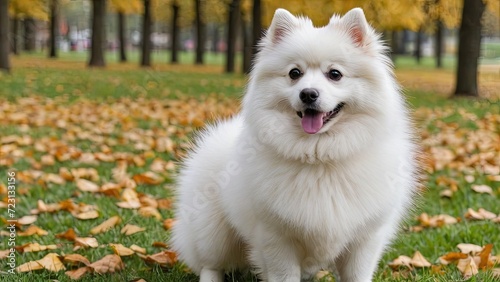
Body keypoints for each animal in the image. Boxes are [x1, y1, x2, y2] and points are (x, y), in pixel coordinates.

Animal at [171, 7, 418, 282]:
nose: (308, 93)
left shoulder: (364, 241)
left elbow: (357, 274)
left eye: (335, 74)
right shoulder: (277, 239)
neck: (320, 159)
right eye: (294, 73)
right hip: (214, 232)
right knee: (210, 263)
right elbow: (284, 274)